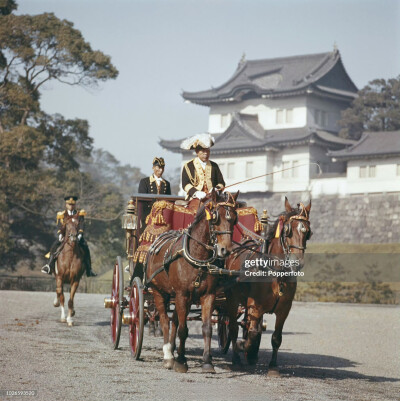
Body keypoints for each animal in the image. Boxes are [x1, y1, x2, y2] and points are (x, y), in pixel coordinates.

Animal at [146, 189, 238, 374]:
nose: (225, 250)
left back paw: (172, 350)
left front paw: (207, 362)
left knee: (174, 320)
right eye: (215, 217)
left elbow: (206, 328)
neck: (199, 257)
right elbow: (183, 329)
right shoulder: (182, 295)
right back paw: (168, 356)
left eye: (234, 218)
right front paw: (181, 361)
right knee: (165, 321)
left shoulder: (208, 295)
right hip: (159, 292)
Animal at [225, 197, 312, 376]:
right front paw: (244, 346)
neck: (276, 274)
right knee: (233, 328)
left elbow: (276, 338)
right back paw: (236, 358)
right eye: (288, 231)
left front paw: (272, 366)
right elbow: (252, 333)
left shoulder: (284, 309)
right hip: (232, 299)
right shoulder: (255, 306)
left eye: (308, 233)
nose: (297, 263)